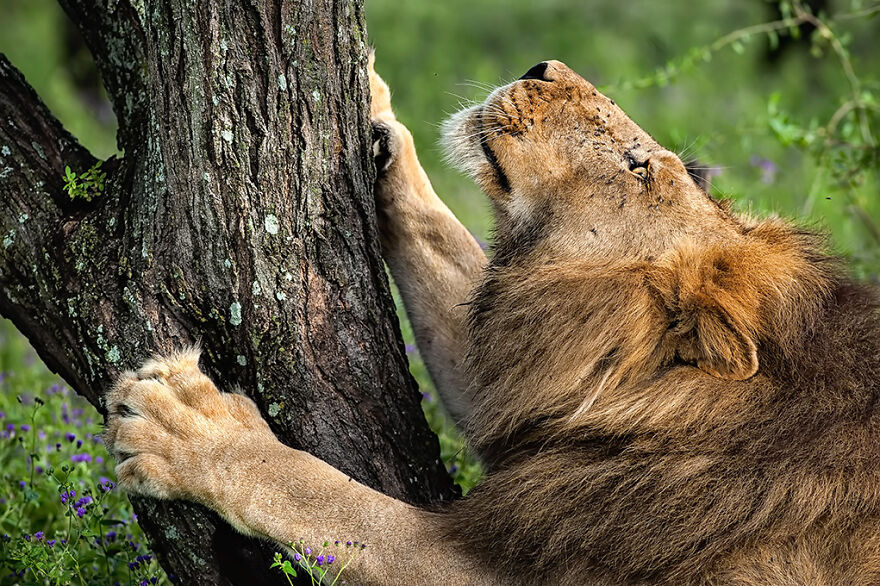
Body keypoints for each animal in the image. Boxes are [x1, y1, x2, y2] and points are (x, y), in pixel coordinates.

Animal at [104, 58, 880, 585]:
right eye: (664, 169)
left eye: (639, 169)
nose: (544, 67)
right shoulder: (529, 383)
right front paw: (378, 102)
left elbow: (331, 501)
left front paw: (188, 428)